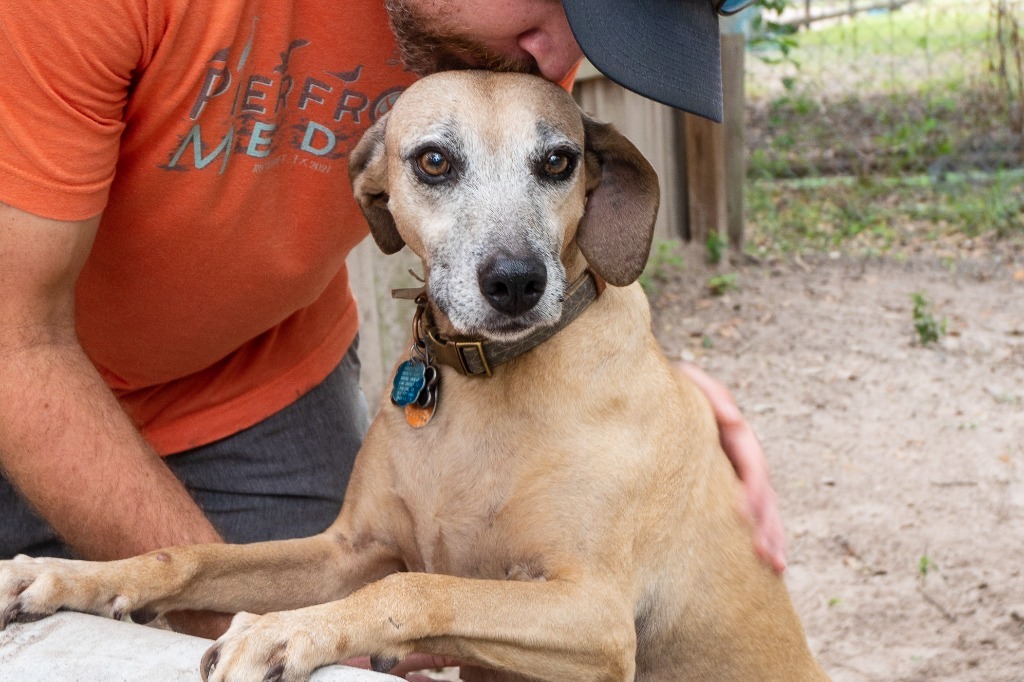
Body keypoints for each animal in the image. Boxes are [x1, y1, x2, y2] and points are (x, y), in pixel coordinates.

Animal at [0, 71, 827, 675]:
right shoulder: (346, 551)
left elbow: (419, 583)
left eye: (558, 161)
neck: (479, 386)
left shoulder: (594, 615)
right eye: (434, 160)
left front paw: (287, 630)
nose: (516, 281)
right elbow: (190, 553)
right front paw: (66, 577)